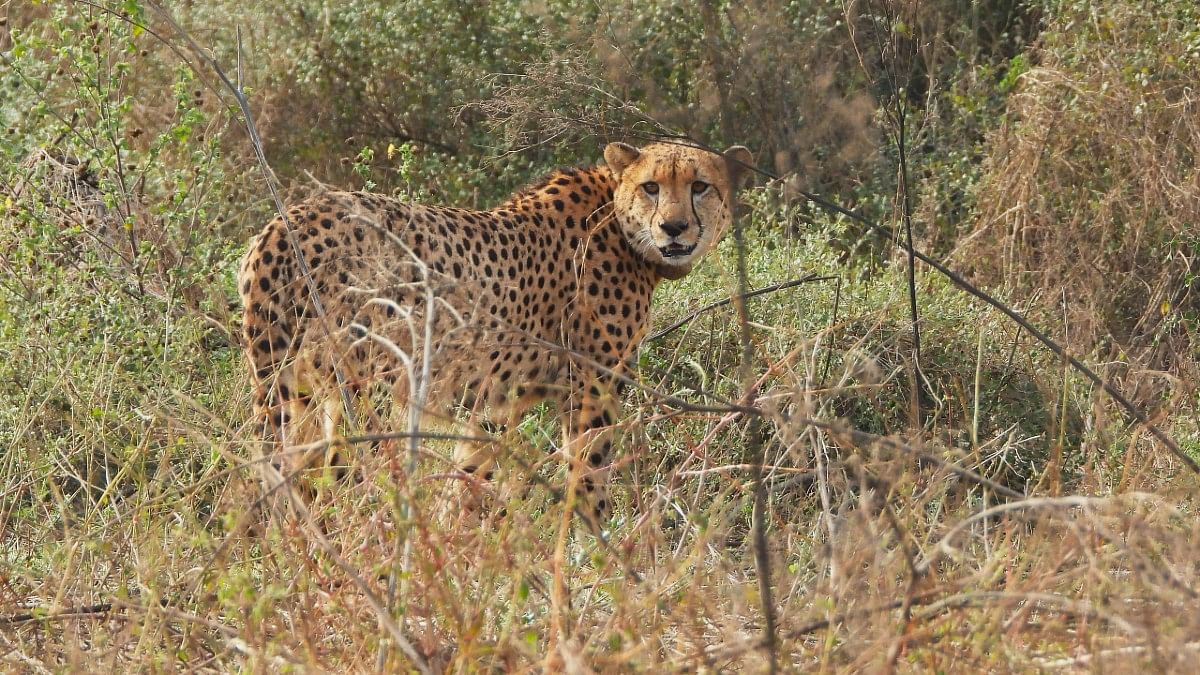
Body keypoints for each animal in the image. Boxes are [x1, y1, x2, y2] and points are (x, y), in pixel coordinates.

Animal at [236, 140, 748, 521]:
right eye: (651, 187)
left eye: (700, 186)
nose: (674, 227)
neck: (620, 222)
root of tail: (284, 222)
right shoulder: (590, 389)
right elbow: (589, 475)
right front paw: (597, 554)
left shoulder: (496, 402)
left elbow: (468, 474)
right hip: (365, 390)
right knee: (345, 477)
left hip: (296, 389)